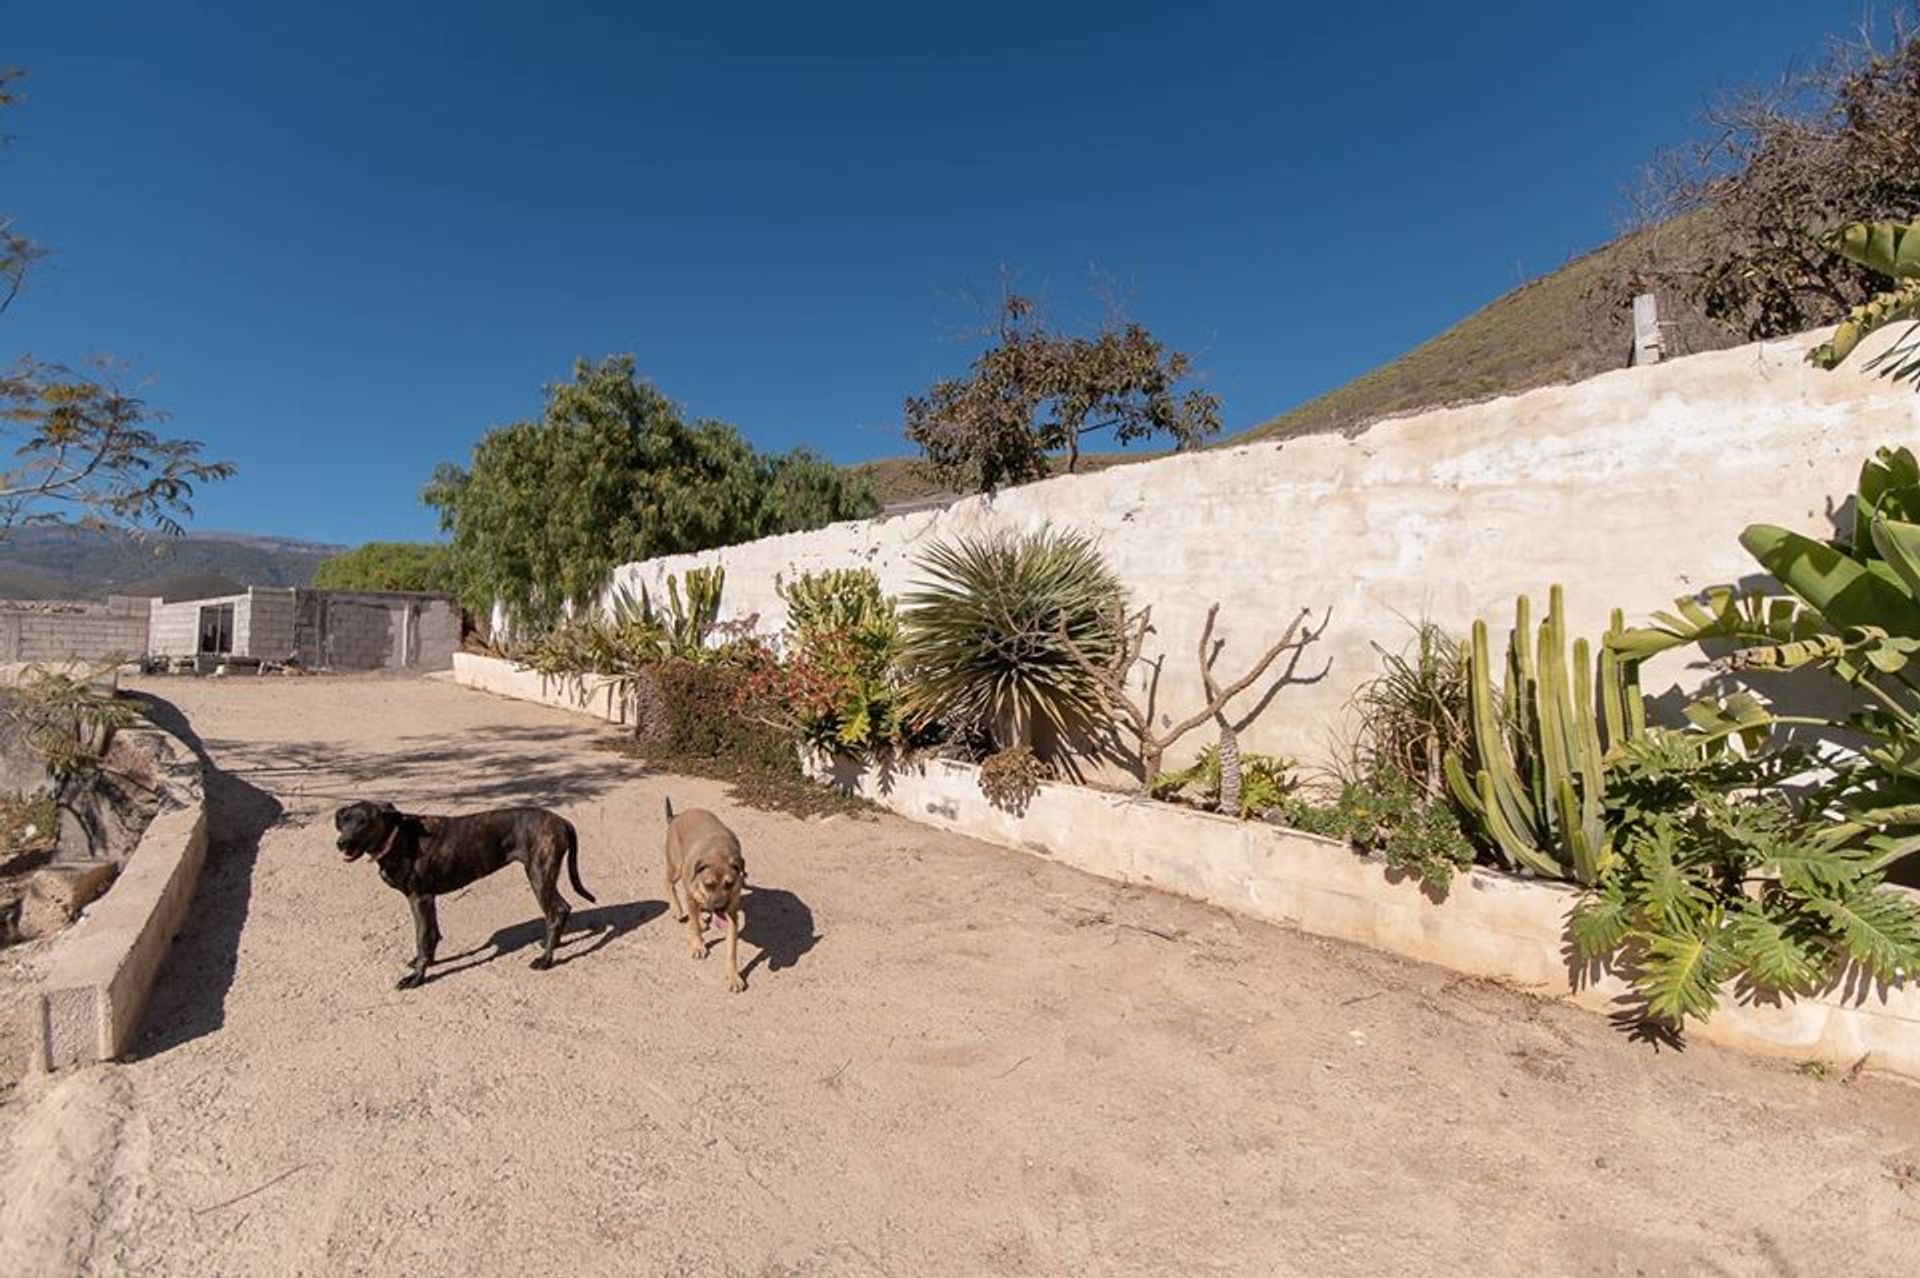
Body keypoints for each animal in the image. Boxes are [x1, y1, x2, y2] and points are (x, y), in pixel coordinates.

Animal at [334, 798, 591, 982]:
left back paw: (546, 959)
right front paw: (426, 962)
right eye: (344, 821)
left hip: (539, 875)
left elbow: (422, 936)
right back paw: (552, 944)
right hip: (543, 876)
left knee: (556, 911)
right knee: (563, 909)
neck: (397, 837)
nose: (341, 843)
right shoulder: (428, 899)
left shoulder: (419, 898)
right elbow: (432, 934)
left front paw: (417, 977)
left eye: (364, 821)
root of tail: (562, 821)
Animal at [664, 790, 744, 990]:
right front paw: (698, 945)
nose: (720, 907)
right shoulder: (692, 896)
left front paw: (733, 976)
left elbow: (732, 948)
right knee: (668, 883)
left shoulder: (732, 913)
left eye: (730, 884)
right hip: (676, 868)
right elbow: (692, 925)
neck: (718, 852)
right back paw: (677, 909)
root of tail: (677, 816)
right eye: (709, 884)